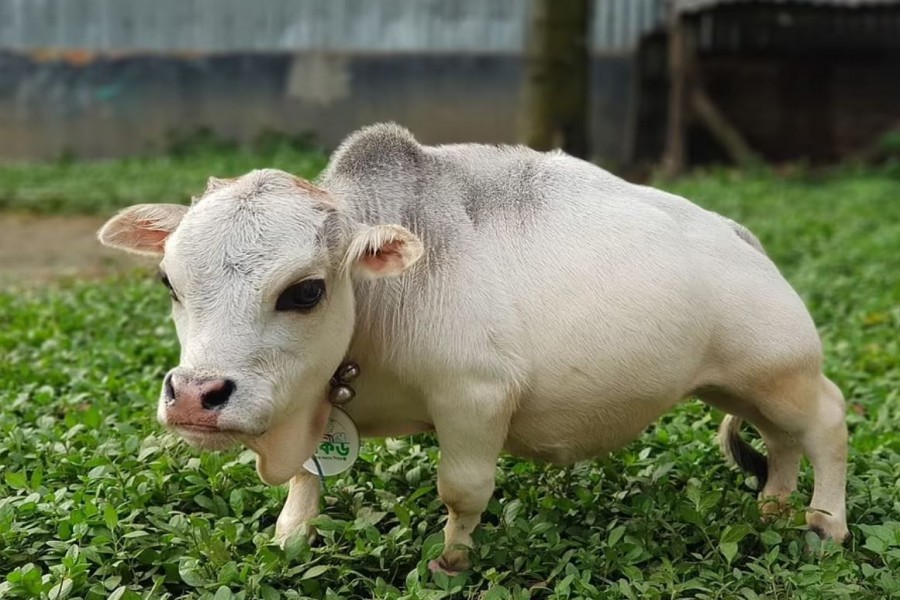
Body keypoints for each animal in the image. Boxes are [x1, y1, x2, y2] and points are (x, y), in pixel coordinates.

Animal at [98, 123, 849, 573]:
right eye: (169, 281)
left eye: (305, 291)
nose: (195, 396)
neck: (378, 307)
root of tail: (741, 237)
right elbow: (309, 479)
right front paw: (291, 536)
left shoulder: (475, 398)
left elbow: (462, 490)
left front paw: (451, 561)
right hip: (739, 387)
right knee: (781, 441)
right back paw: (772, 506)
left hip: (781, 373)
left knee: (827, 422)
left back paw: (826, 523)